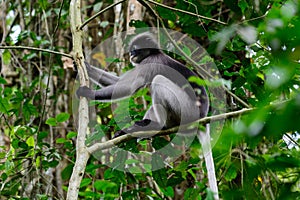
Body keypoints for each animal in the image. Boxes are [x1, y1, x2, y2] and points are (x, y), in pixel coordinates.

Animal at [76, 32, 210, 138]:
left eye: (135, 50)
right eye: (131, 51)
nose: (131, 55)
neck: (153, 53)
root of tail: (202, 118)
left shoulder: (150, 62)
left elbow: (130, 86)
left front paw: (87, 92)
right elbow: (119, 82)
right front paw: (87, 68)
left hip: (188, 110)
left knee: (158, 80)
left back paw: (158, 125)